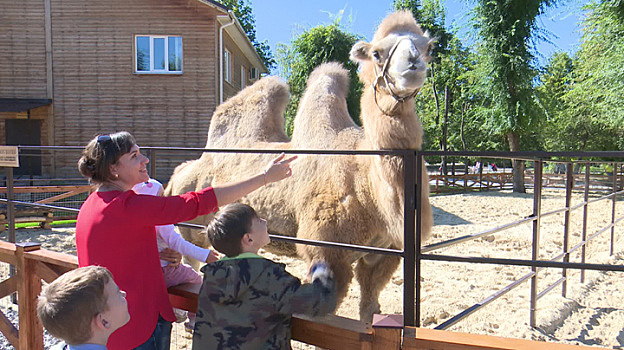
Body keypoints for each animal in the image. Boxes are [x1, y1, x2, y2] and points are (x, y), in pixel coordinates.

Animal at [166, 10, 434, 322]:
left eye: (428, 48)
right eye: (377, 53)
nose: (412, 63)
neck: (364, 182)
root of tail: (179, 172)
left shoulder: (385, 254)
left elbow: (369, 309)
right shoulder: (327, 251)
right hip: (191, 226)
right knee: (192, 260)